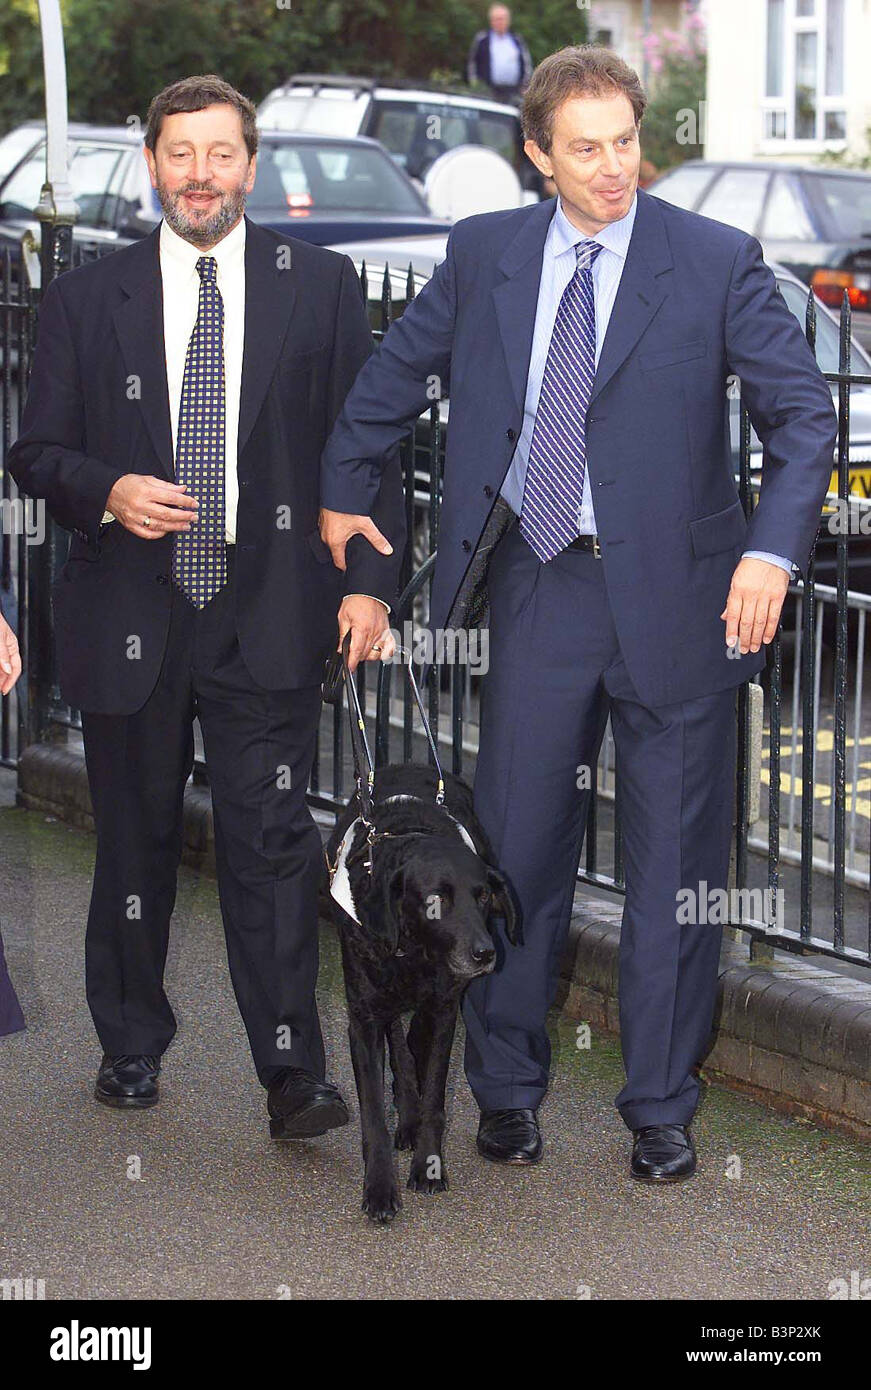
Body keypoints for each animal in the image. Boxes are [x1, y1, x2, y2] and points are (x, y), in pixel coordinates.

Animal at [325, 761, 516, 1228]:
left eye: (483, 895)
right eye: (435, 900)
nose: (485, 953)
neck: (413, 951)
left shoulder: (444, 1009)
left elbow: (433, 1095)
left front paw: (429, 1164)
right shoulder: (363, 1019)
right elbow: (373, 1112)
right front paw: (379, 1188)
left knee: (412, 1045)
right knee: (399, 1038)